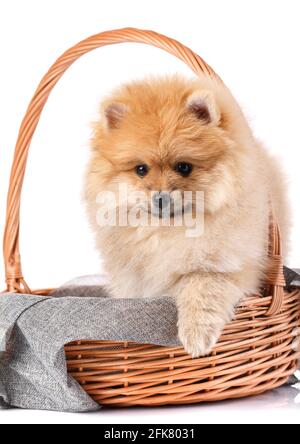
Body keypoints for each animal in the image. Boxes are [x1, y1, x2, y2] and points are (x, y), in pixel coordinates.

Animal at [84, 73, 288, 358]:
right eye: (141, 169)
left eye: (183, 167)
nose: (160, 198)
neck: (168, 231)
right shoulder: (133, 281)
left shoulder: (225, 267)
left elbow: (202, 289)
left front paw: (196, 337)